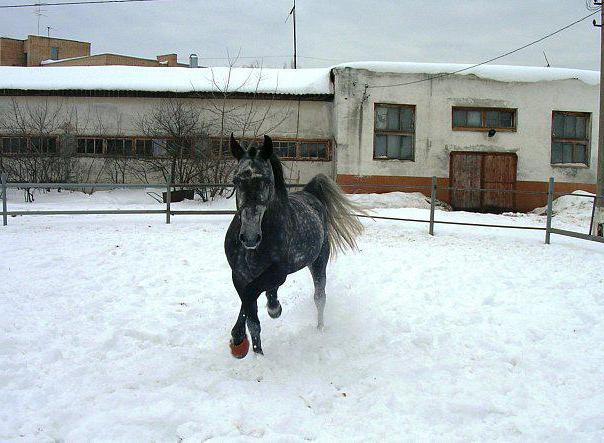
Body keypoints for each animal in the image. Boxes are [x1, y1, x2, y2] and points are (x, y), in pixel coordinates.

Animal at [223, 134, 360, 358]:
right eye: (236, 180)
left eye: (266, 181)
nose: (250, 238)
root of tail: (310, 194)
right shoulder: (239, 275)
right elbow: (251, 314)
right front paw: (255, 351)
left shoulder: (279, 273)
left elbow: (250, 295)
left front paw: (238, 337)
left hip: (318, 263)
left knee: (319, 297)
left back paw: (319, 329)